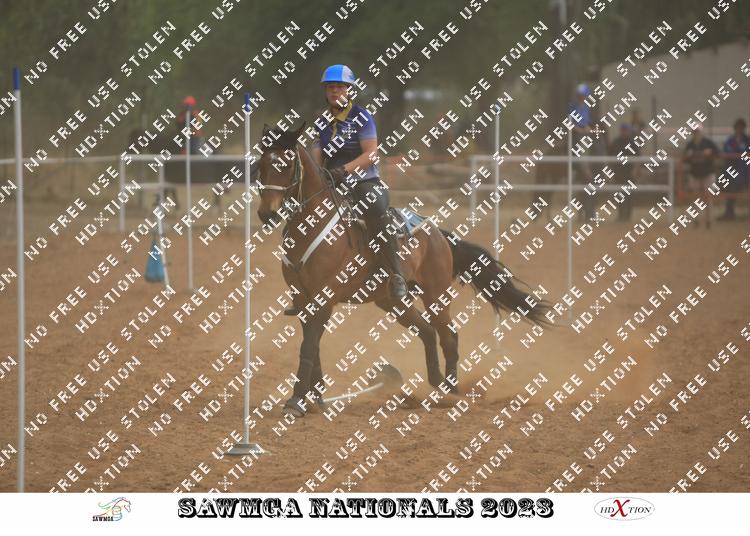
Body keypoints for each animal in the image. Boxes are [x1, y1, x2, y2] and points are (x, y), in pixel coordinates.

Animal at [255, 123, 549, 417]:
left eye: (286, 164)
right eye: (261, 164)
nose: (266, 213)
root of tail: (438, 233)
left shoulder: (324, 298)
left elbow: (308, 346)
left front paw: (296, 401)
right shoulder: (302, 299)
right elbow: (312, 345)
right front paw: (314, 398)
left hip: (436, 294)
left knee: (449, 336)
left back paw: (450, 392)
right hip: (392, 301)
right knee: (428, 331)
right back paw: (436, 385)